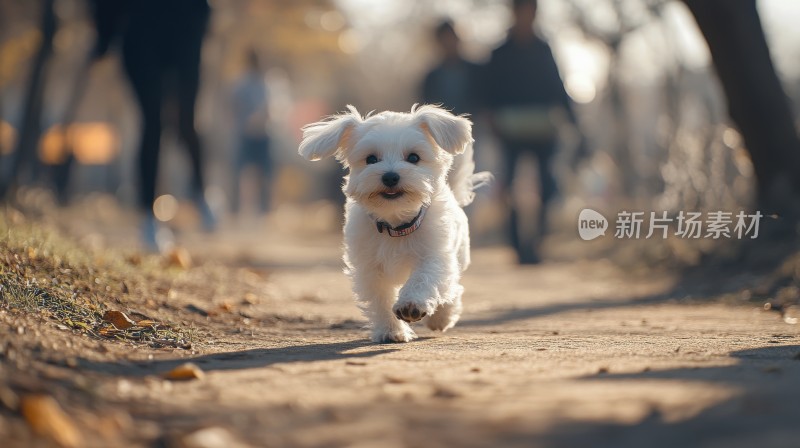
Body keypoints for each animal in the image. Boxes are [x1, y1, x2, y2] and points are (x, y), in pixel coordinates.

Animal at [298, 105, 490, 344]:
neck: (396, 223)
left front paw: (411, 305)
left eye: (414, 157)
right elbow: (381, 298)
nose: (390, 177)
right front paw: (391, 331)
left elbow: (425, 278)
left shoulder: (434, 254)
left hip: (458, 255)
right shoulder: (369, 267)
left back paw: (441, 317)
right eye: (371, 159)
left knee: (453, 287)